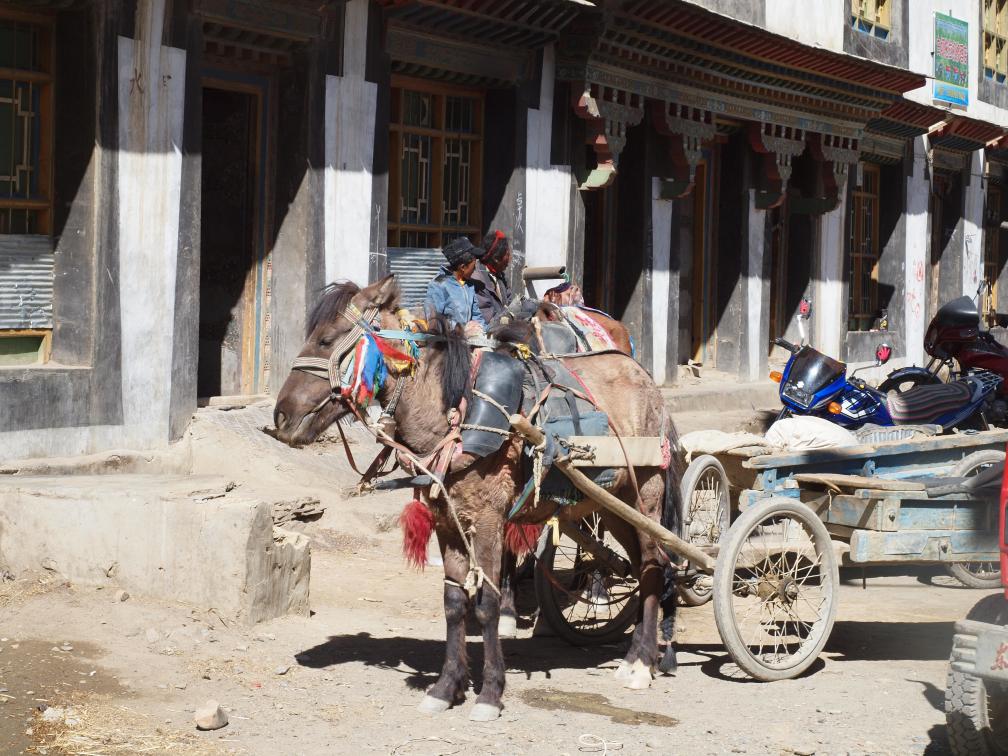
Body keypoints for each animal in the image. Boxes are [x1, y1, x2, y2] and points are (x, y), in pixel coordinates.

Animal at [271, 275, 682, 721]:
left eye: (326, 340)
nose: (280, 417)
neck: (454, 411)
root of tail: (646, 381)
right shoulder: (447, 522)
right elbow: (454, 602)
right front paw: (446, 687)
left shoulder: (487, 521)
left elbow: (486, 603)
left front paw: (490, 693)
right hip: (612, 505)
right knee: (640, 566)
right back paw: (638, 653)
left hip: (646, 496)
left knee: (654, 567)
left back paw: (641, 662)